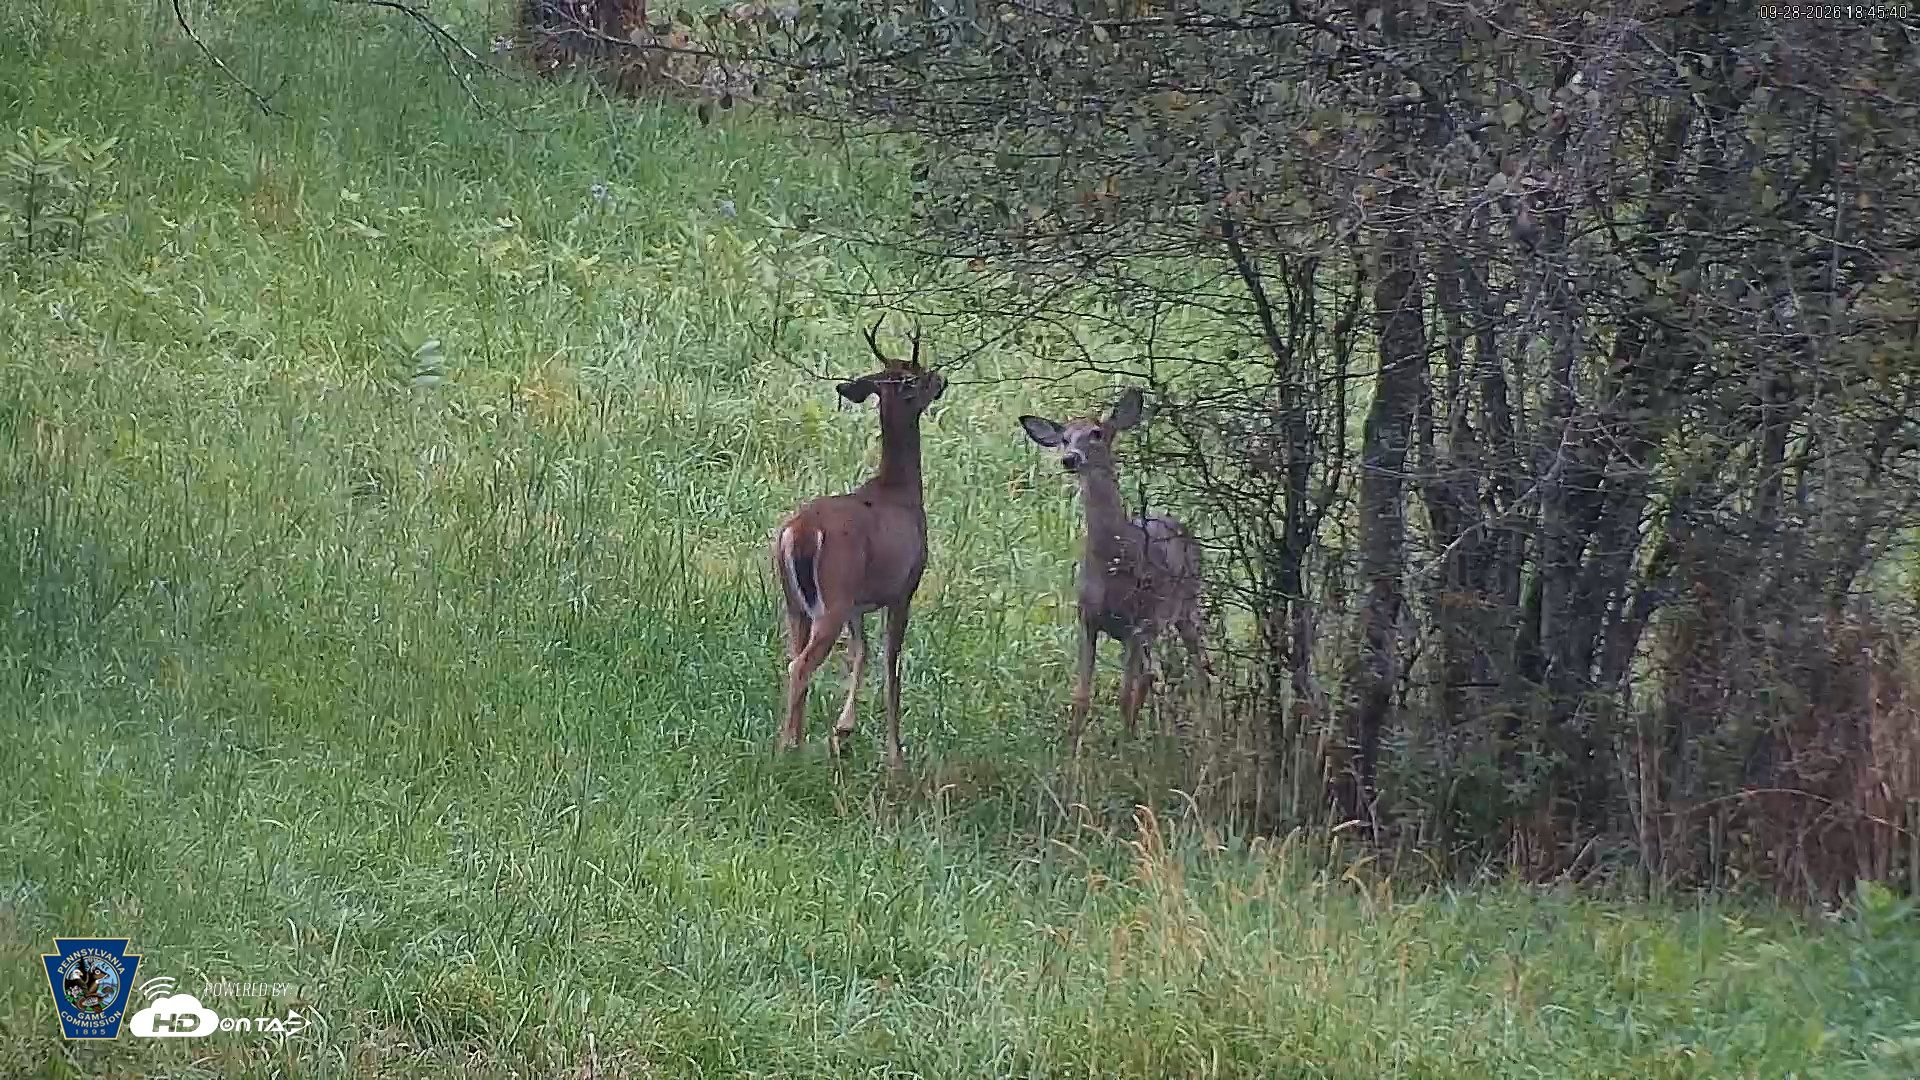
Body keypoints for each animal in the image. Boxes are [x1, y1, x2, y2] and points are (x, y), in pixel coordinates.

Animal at [771, 320, 946, 771]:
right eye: (916, 376)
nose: (941, 378)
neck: (899, 490)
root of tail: (801, 530)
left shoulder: (858, 602)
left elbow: (861, 652)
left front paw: (842, 731)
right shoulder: (904, 588)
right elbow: (890, 663)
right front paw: (895, 755)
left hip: (796, 602)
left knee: (793, 656)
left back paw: (795, 742)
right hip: (831, 596)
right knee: (801, 665)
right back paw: (787, 749)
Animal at [1019, 387, 1211, 748]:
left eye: (1096, 433)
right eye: (1064, 438)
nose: (1070, 459)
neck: (1112, 562)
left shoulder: (1137, 623)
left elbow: (1124, 695)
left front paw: (1125, 749)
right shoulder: (1088, 619)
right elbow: (1081, 696)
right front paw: (1074, 750)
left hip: (1184, 608)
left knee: (1199, 667)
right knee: (1151, 674)